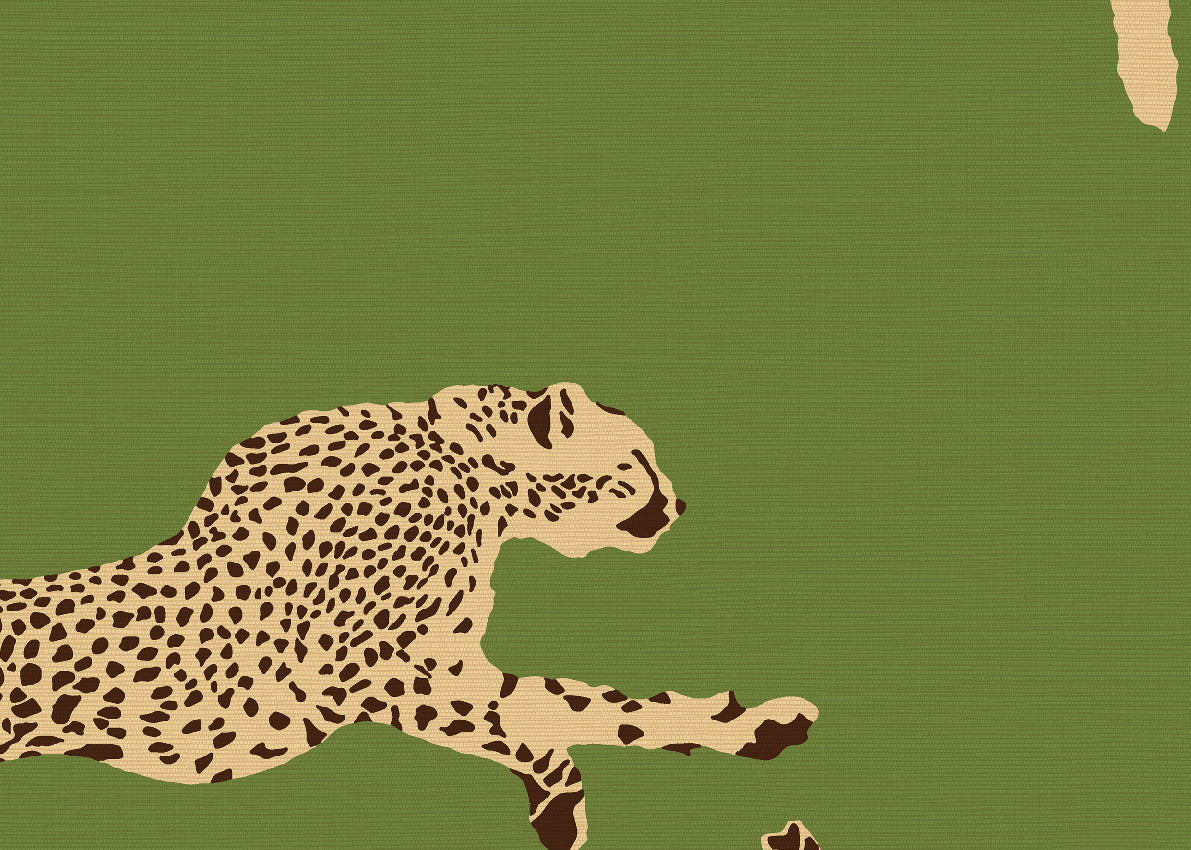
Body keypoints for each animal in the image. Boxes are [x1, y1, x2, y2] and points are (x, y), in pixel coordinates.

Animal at [0, 382, 818, 850]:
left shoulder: (438, 669)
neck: (475, 476)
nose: (678, 506)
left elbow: (574, 705)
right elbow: (567, 711)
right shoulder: (382, 675)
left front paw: (753, 728)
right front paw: (563, 795)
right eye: (637, 464)